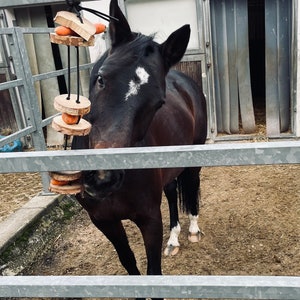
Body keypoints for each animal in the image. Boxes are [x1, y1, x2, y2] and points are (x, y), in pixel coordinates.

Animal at [72, 0, 206, 286]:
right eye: (101, 79)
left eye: (158, 102)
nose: (103, 178)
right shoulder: (104, 221)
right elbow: (128, 263)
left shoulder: (149, 220)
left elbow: (153, 272)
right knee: (171, 192)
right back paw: (174, 239)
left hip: (194, 162)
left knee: (191, 187)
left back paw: (192, 229)